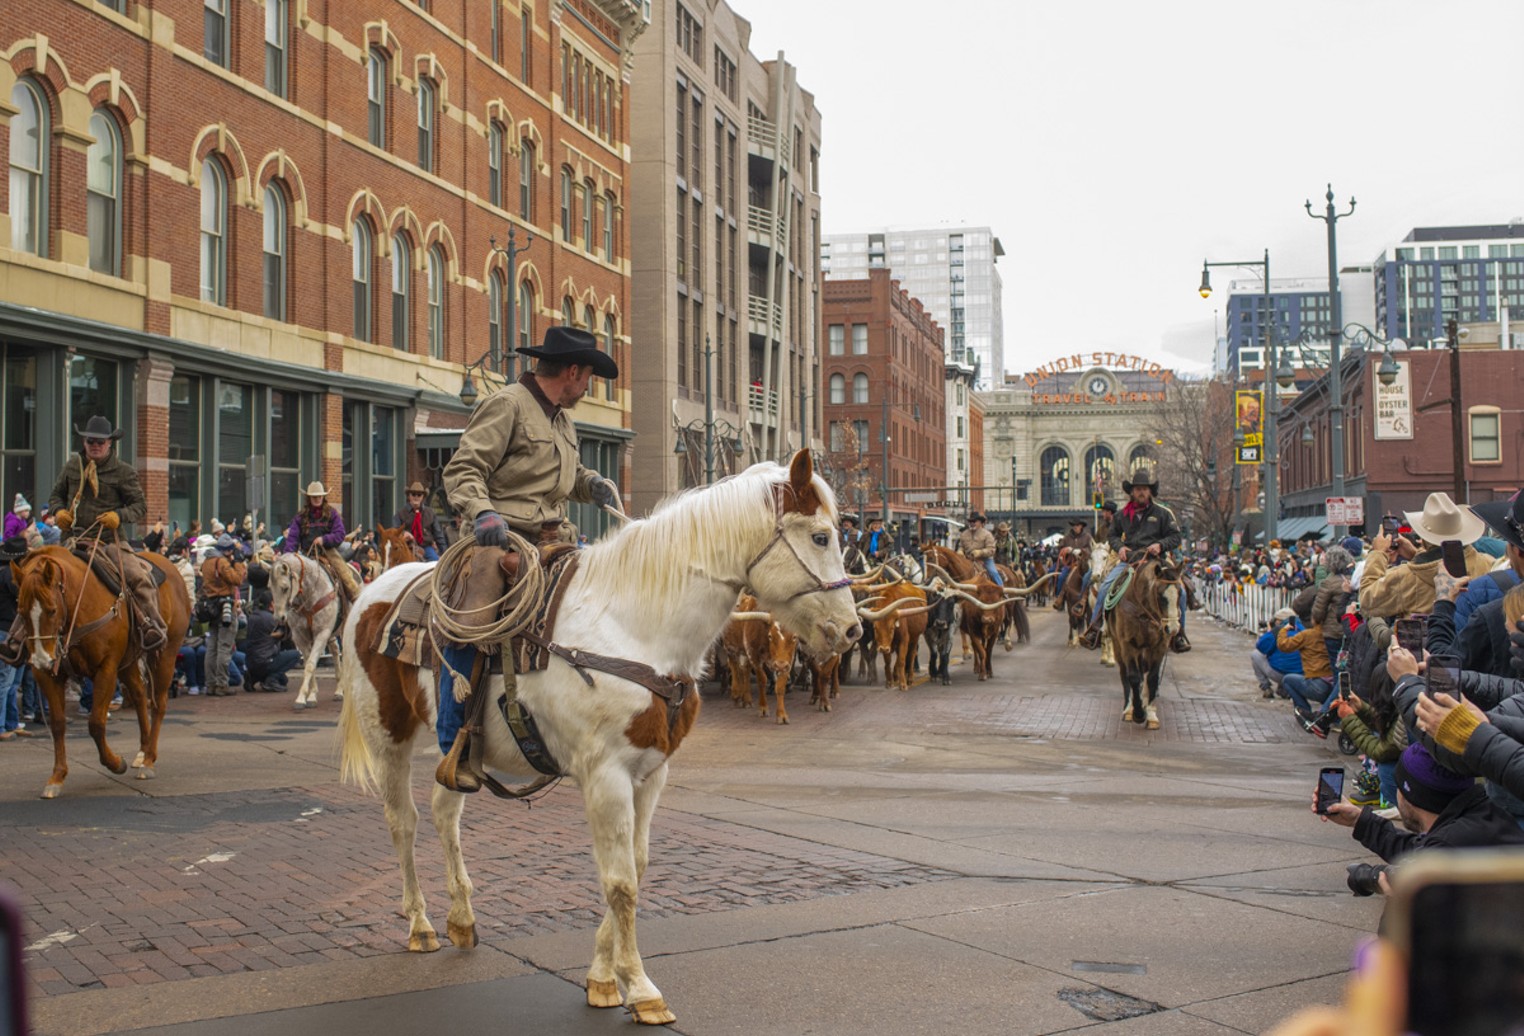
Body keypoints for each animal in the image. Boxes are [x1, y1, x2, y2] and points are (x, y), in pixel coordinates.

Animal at [14, 545, 190, 798]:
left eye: (52, 610)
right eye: (21, 611)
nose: (40, 659)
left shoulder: (106, 668)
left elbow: (96, 723)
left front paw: (116, 763)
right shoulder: (47, 675)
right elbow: (57, 724)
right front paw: (57, 777)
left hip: (166, 655)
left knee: (158, 704)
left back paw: (148, 761)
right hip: (128, 663)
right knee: (139, 696)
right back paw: (142, 751)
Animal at [274, 551, 348, 713]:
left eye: (285, 588)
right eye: (270, 587)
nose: (279, 618)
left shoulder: (322, 633)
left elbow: (310, 665)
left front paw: (301, 699)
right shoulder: (300, 637)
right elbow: (309, 663)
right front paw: (311, 696)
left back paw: (343, 690)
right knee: (335, 651)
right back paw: (339, 689)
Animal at [335, 454, 865, 1029]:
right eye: (820, 536)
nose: (851, 630)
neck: (633, 628)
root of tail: (373, 592)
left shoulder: (651, 773)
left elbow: (636, 865)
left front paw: (603, 979)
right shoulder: (605, 775)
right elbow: (620, 883)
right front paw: (642, 989)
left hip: (458, 745)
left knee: (443, 809)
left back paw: (461, 917)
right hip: (387, 732)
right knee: (403, 822)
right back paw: (420, 924)